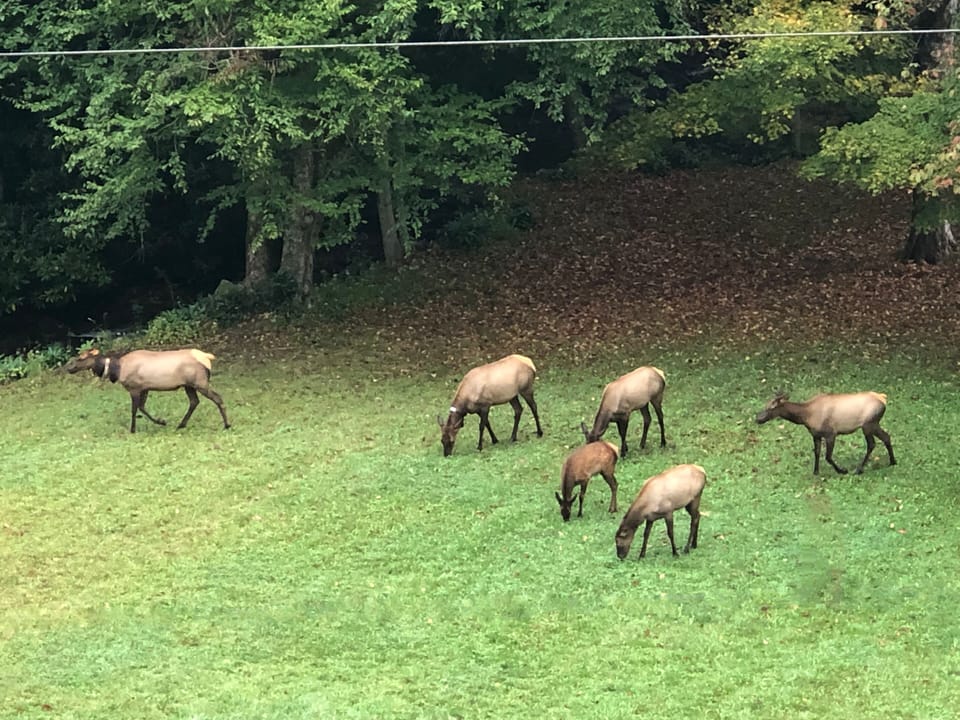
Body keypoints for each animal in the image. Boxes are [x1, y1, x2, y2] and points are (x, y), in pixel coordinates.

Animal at [64, 348, 230, 433]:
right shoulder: (145, 388)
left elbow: (134, 409)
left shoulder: (134, 388)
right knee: (194, 402)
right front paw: (161, 421)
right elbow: (142, 408)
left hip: (200, 382)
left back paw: (227, 425)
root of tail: (207, 357)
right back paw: (181, 424)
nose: (68, 367)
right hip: (189, 385)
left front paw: (132, 429)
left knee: (218, 398)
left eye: (81, 357)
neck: (116, 370)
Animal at [755, 390, 895, 475]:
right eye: (765, 405)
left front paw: (842, 470)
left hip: (868, 424)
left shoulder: (831, 434)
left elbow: (828, 456)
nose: (758, 418)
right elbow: (817, 453)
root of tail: (883, 398)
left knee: (872, 444)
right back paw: (892, 462)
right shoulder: (816, 435)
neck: (805, 416)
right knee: (886, 437)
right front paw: (816, 471)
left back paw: (859, 469)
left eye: (771, 408)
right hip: (873, 424)